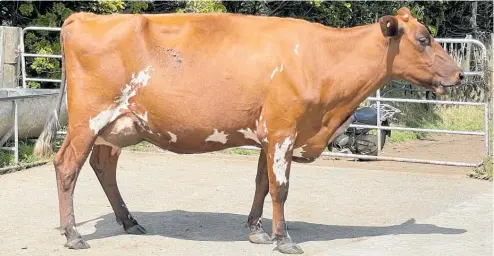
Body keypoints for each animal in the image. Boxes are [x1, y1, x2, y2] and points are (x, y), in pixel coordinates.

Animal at [32, 7, 462, 254]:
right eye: (423, 39)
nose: (459, 74)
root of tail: (84, 16)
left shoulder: (268, 134)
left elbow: (261, 184)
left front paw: (256, 231)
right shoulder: (285, 129)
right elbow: (281, 188)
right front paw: (283, 239)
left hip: (119, 125)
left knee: (104, 166)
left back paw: (129, 221)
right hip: (88, 119)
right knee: (67, 166)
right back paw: (73, 235)